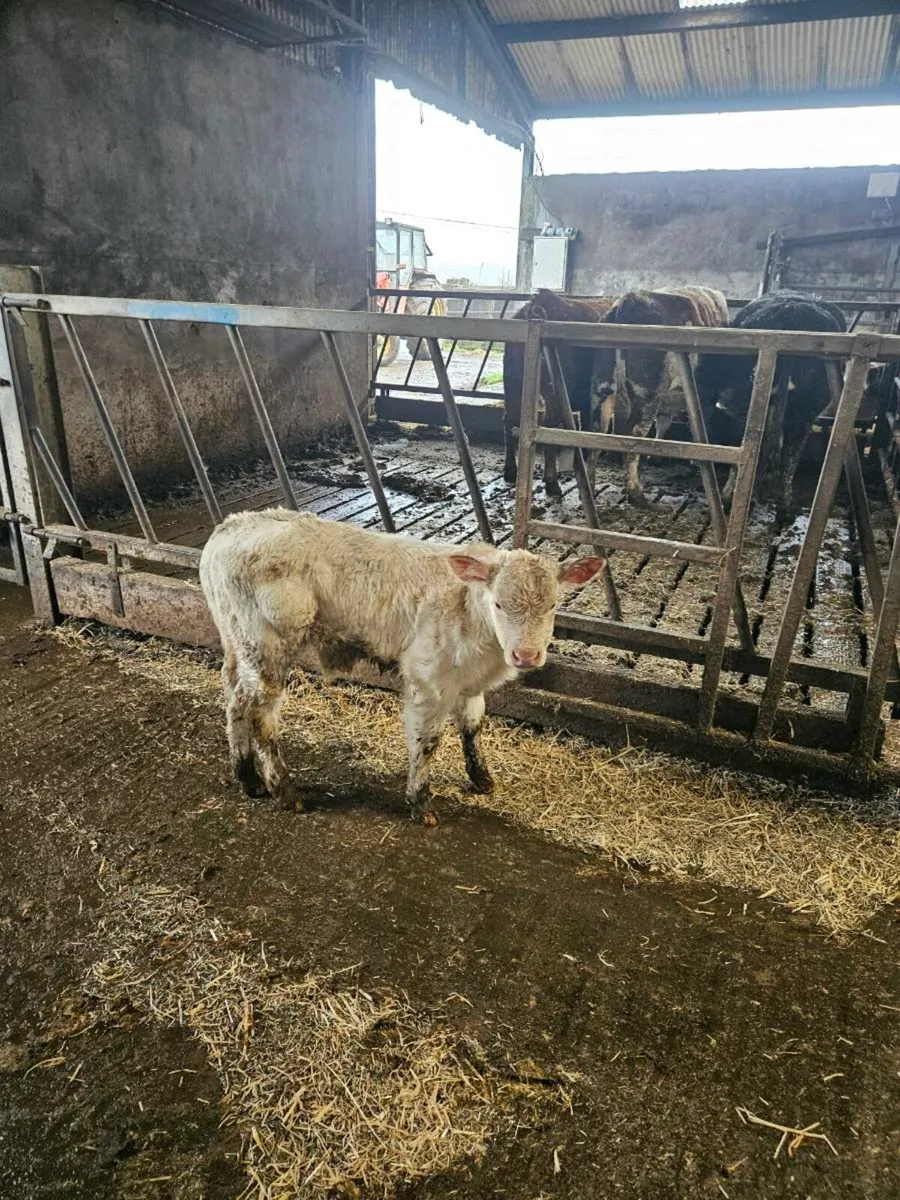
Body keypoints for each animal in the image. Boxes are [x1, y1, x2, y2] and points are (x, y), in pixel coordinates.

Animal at [199, 510, 604, 826]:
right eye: (499, 604)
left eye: (553, 605)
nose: (526, 655)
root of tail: (232, 525)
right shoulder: (429, 679)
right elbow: (428, 742)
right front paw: (420, 802)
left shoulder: (468, 682)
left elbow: (473, 726)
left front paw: (482, 778)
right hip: (268, 645)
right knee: (261, 713)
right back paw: (284, 791)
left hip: (237, 642)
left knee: (235, 698)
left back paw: (247, 778)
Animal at [503, 289, 616, 497]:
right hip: (554, 392)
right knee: (549, 426)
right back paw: (552, 482)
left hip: (513, 384)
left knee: (509, 420)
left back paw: (510, 471)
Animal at [590, 285, 729, 505]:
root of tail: (630, 300)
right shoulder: (705, 395)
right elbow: (699, 426)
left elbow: (663, 422)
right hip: (648, 394)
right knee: (634, 434)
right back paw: (636, 493)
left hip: (602, 388)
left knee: (596, 431)